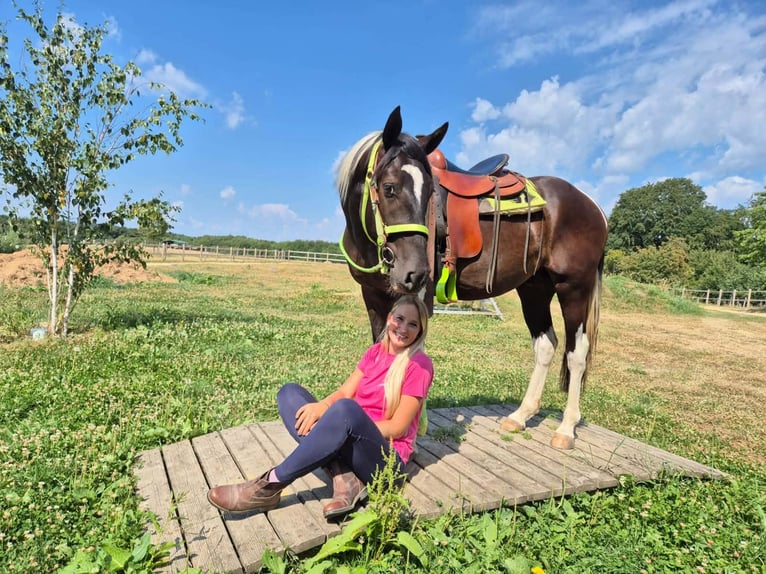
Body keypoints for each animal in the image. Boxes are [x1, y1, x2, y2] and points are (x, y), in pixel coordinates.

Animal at [336, 107, 608, 450]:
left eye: (430, 192)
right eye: (389, 187)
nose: (416, 271)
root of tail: (592, 205)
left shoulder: (415, 298)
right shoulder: (372, 295)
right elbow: (381, 350)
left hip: (573, 287)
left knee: (577, 353)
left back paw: (566, 428)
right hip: (534, 290)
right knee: (546, 345)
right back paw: (520, 416)